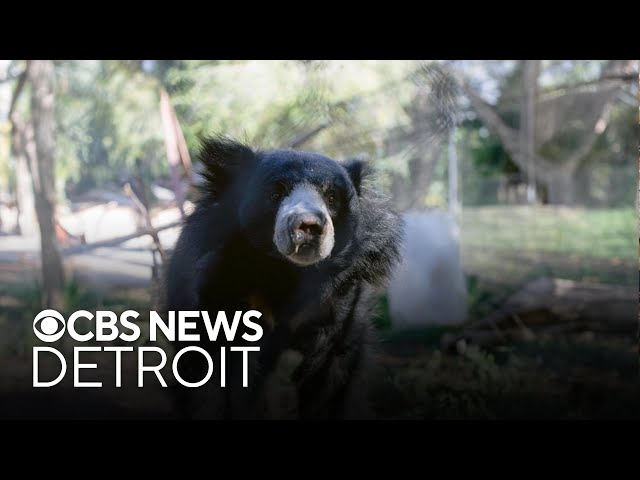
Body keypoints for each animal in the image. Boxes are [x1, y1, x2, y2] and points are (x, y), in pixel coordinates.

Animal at [166, 133, 404, 418]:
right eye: (276, 193)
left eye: (331, 197)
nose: (309, 226)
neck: (286, 272)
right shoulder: (220, 287)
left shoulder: (339, 302)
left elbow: (330, 377)